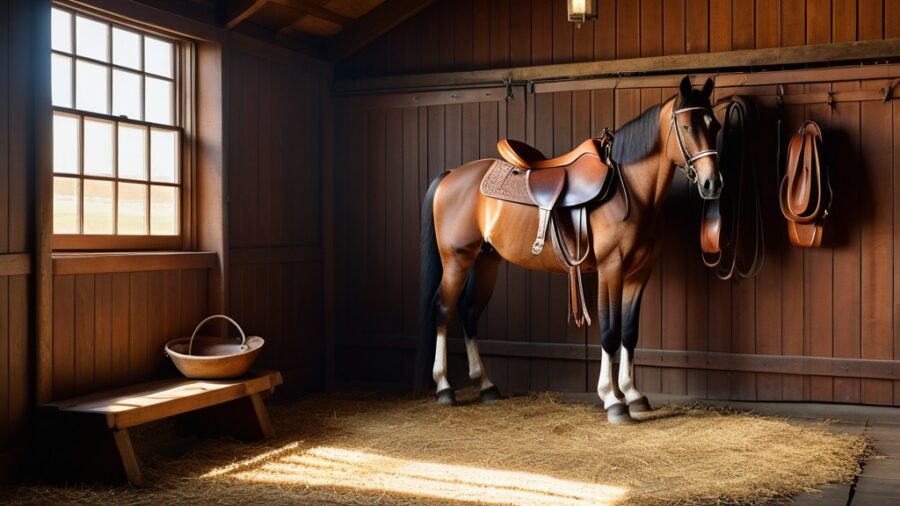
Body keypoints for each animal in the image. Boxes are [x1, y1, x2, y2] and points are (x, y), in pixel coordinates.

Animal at [416, 76, 722, 424]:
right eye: (686, 126)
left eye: (715, 125)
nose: (713, 183)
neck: (629, 190)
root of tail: (451, 175)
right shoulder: (611, 268)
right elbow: (609, 331)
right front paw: (613, 400)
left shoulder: (639, 272)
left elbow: (629, 332)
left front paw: (633, 395)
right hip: (456, 259)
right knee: (443, 309)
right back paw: (444, 387)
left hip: (485, 261)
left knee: (469, 312)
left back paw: (486, 386)